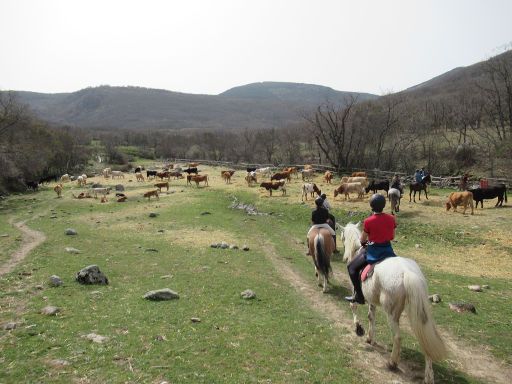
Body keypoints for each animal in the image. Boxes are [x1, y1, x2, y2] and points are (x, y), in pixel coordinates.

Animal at [340, 222, 444, 384]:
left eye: (342, 237)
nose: (344, 256)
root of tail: (406, 272)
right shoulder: (371, 299)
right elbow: (371, 316)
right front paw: (369, 338)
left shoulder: (355, 292)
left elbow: (354, 305)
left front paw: (359, 329)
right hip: (418, 312)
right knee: (424, 339)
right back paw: (428, 376)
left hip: (392, 312)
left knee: (398, 337)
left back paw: (392, 363)